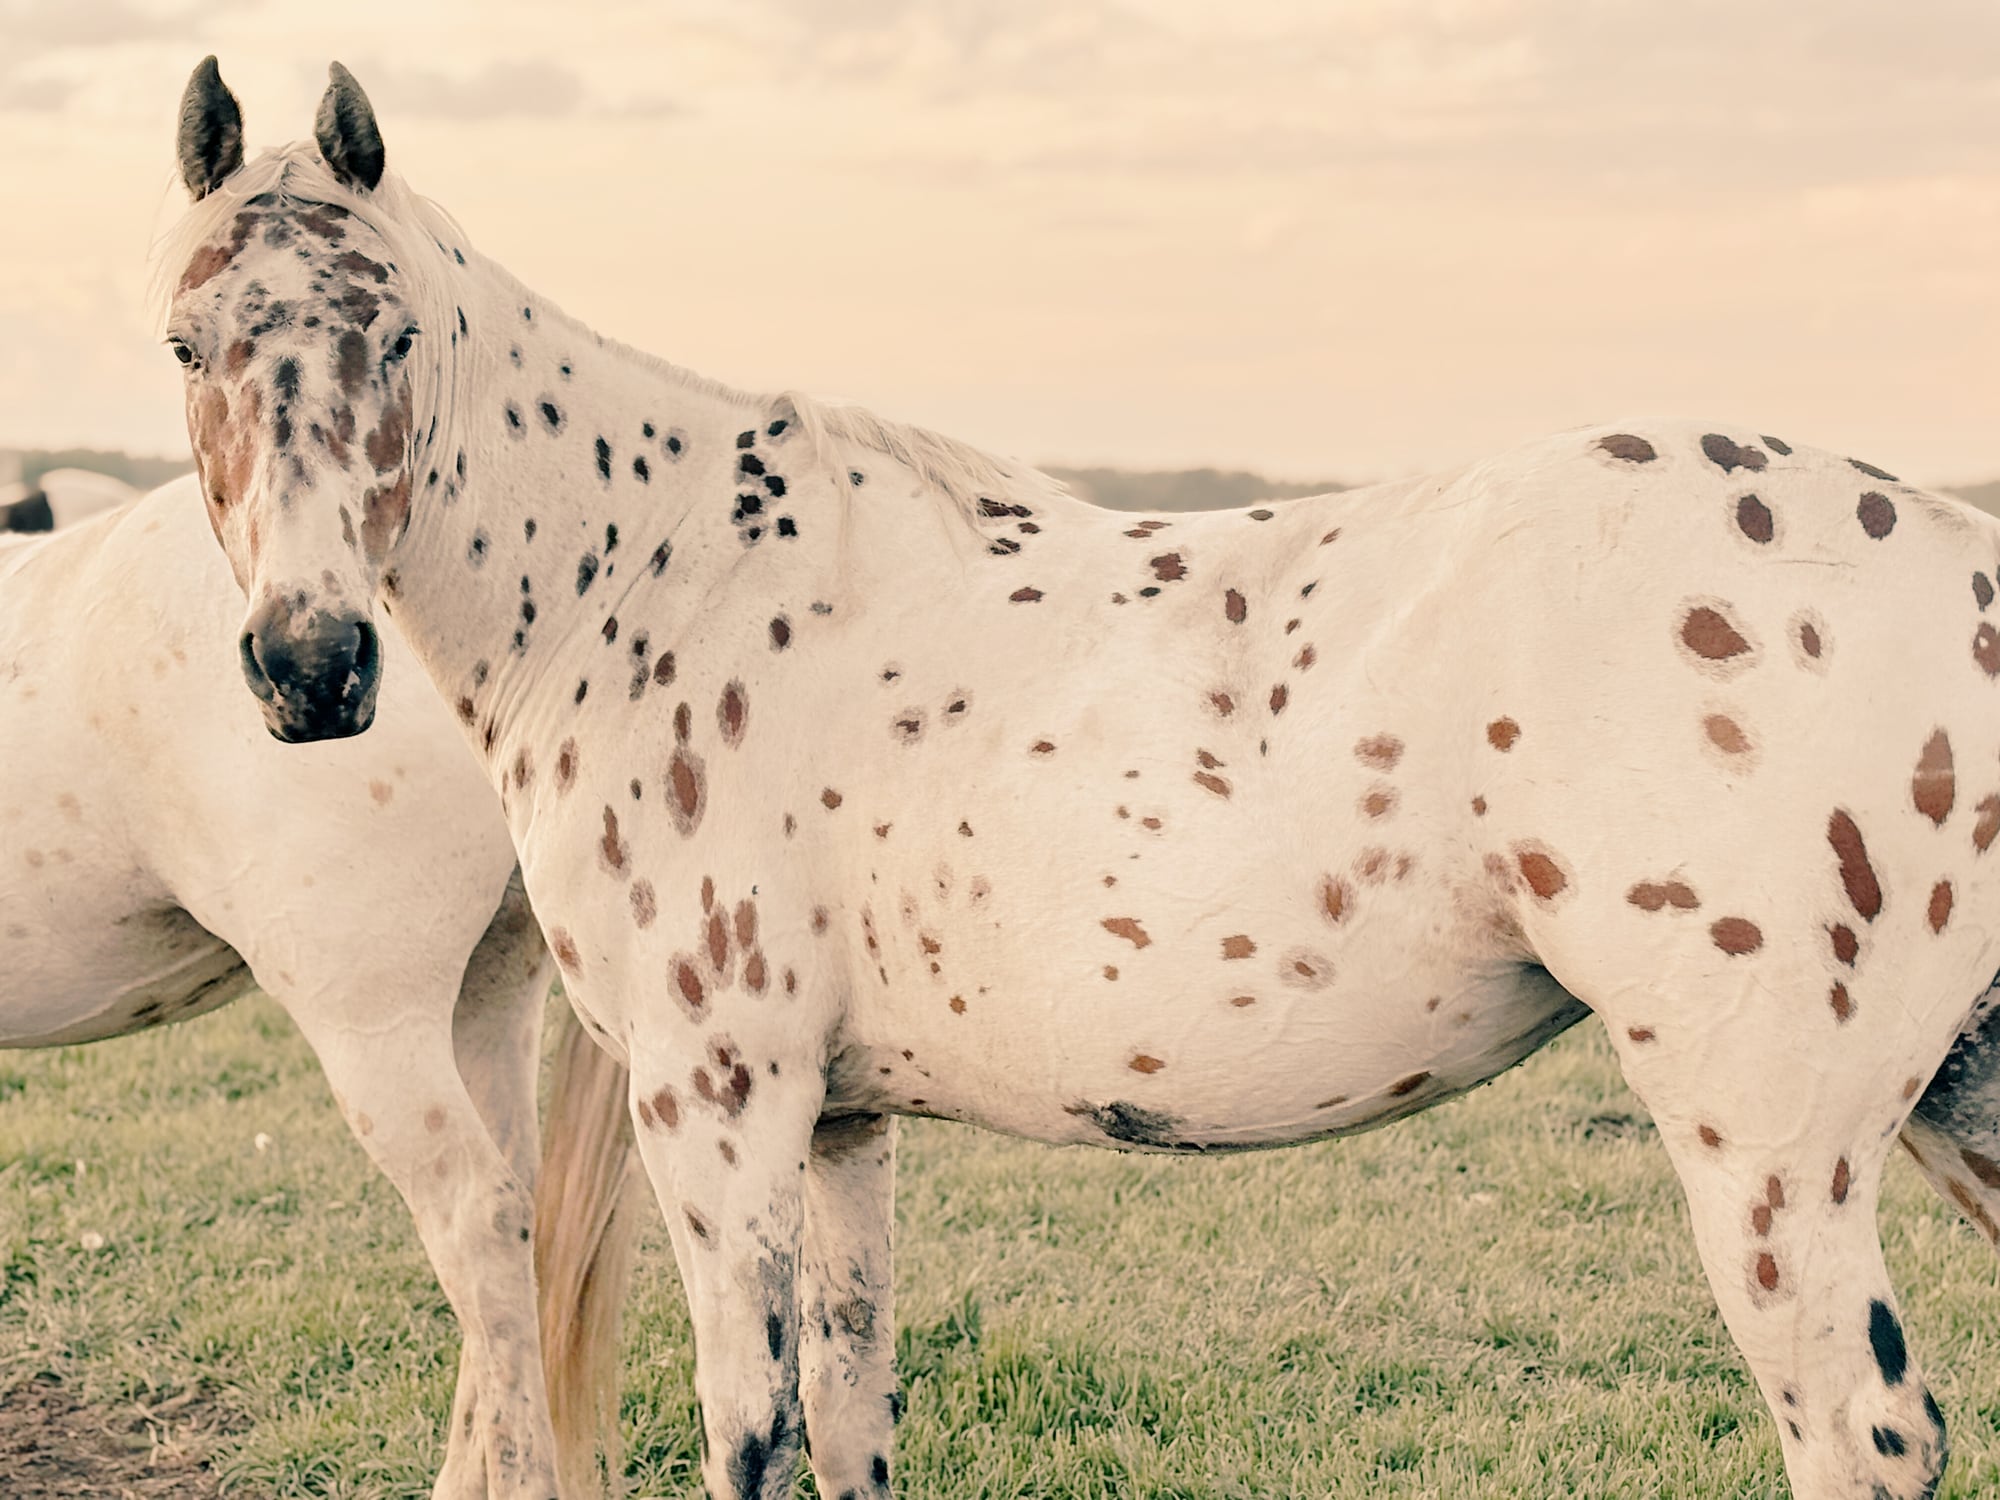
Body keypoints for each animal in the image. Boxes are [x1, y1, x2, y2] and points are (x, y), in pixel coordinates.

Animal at [160, 54, 2000, 1500]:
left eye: (398, 334)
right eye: (187, 344)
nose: (309, 667)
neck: (654, 586)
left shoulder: (719, 1106)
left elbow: (748, 1434)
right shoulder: (838, 1122)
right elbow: (850, 1418)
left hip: (1773, 1154)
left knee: (1859, 1438)